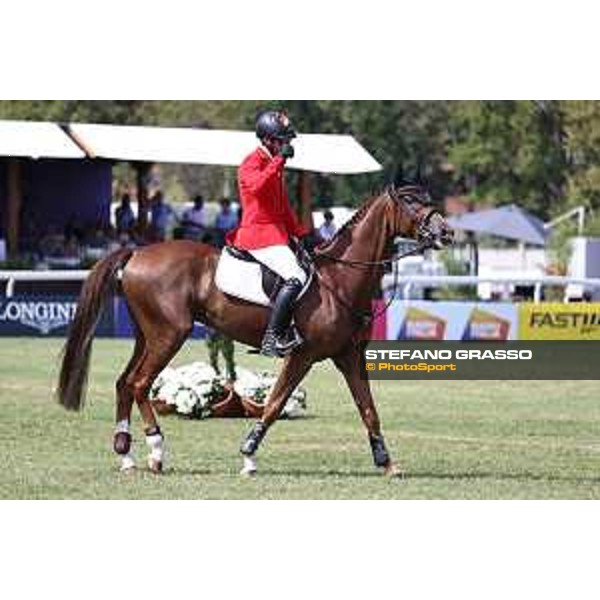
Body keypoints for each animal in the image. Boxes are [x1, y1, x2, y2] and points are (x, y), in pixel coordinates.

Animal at [57, 185, 450, 476]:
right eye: (411, 202)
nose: (446, 232)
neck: (339, 278)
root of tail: (137, 253)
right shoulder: (303, 355)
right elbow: (274, 404)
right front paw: (248, 455)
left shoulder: (349, 356)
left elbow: (368, 408)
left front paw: (386, 462)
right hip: (168, 335)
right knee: (140, 384)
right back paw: (155, 452)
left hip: (147, 336)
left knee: (124, 383)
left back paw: (125, 454)